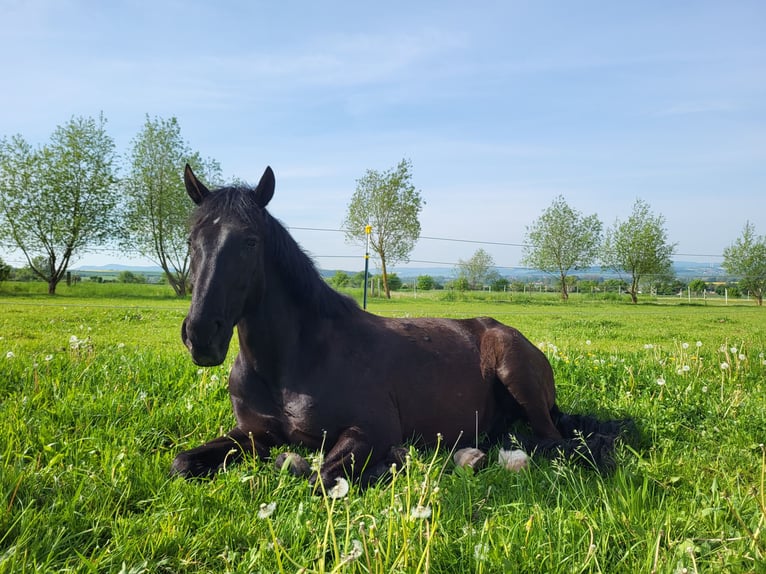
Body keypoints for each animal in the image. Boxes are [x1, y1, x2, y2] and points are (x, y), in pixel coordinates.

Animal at [172, 164, 629, 485]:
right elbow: (181, 462)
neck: (290, 364)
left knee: (550, 441)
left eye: (250, 242)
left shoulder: (370, 430)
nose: (201, 336)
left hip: (516, 373)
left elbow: (322, 476)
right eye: (192, 241)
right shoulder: (252, 434)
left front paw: (389, 463)